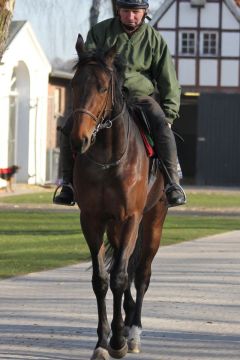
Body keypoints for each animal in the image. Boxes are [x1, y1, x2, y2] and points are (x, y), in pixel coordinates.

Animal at [71, 34, 168, 360]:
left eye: (102, 87)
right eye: (74, 85)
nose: (78, 139)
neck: (107, 157)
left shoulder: (131, 219)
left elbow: (122, 277)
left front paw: (117, 341)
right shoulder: (92, 220)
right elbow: (102, 279)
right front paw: (103, 340)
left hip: (152, 222)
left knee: (141, 273)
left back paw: (133, 330)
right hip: (114, 226)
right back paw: (124, 324)